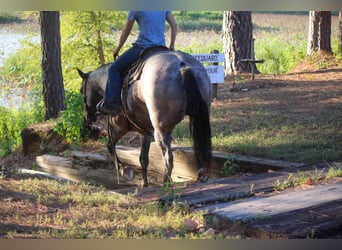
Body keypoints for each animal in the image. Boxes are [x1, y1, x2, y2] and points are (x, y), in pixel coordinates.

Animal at [78, 48, 211, 188]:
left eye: (81, 91)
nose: (86, 117)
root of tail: (183, 67)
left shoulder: (117, 128)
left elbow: (110, 146)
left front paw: (124, 170)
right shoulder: (145, 132)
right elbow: (143, 159)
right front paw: (145, 182)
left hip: (160, 130)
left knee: (168, 157)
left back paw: (166, 182)